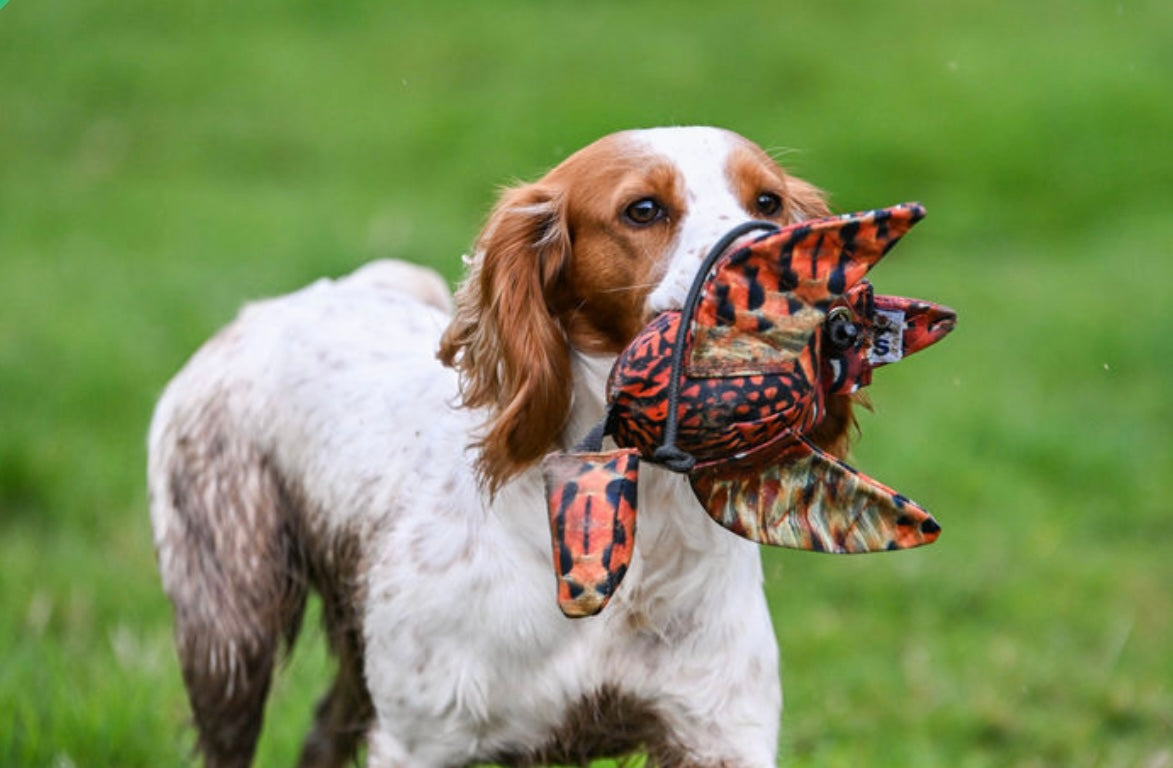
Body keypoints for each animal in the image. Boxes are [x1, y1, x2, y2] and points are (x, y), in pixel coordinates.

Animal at [148, 127, 853, 768]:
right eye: (643, 209)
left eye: (767, 202)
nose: (778, 264)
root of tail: (270, 308)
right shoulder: (418, 741)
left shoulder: (719, 734)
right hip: (230, 637)